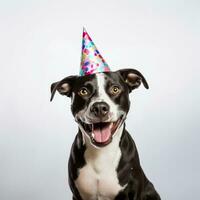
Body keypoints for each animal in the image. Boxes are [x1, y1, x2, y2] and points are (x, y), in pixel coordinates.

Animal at [50, 69, 161, 200]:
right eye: (83, 91)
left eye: (115, 89)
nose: (99, 107)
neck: (101, 154)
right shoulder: (77, 195)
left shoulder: (134, 193)